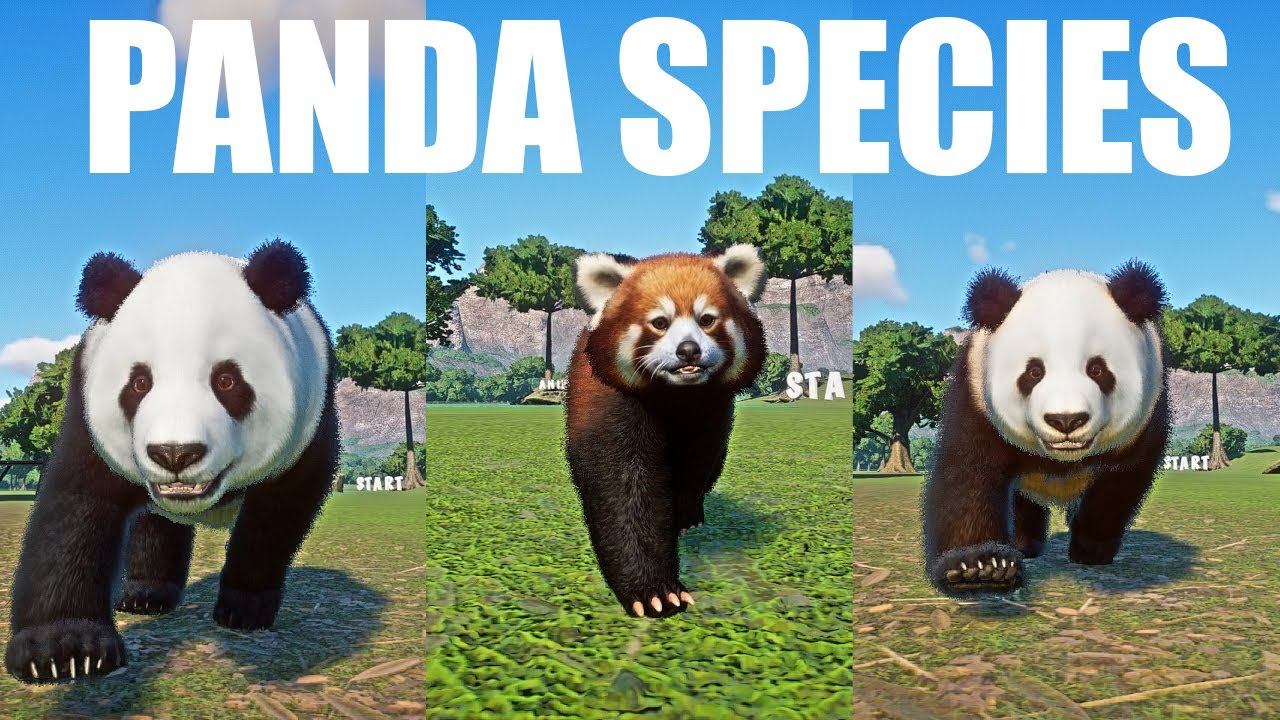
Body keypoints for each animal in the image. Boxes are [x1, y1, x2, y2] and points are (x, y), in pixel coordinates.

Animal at [5, 241, 339, 683]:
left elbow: (277, 513)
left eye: (227, 381)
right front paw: (64, 651)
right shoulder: (89, 416)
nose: (175, 453)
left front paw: (244, 609)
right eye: (139, 383)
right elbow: (75, 508)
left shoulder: (308, 422)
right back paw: (147, 594)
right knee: (153, 522)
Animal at [565, 245, 767, 618]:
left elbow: (696, 464)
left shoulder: (711, 409)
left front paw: (683, 514)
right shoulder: (612, 400)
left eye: (706, 319)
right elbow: (626, 488)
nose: (688, 350)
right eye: (660, 323)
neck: (676, 396)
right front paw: (654, 591)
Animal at [923, 261, 1170, 597]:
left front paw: (1090, 549)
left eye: (1097, 369)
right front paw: (980, 567)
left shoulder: (1145, 420)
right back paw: (1024, 544)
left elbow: (1118, 484)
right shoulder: (976, 398)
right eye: (1033, 372)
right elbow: (968, 474)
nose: (1066, 420)